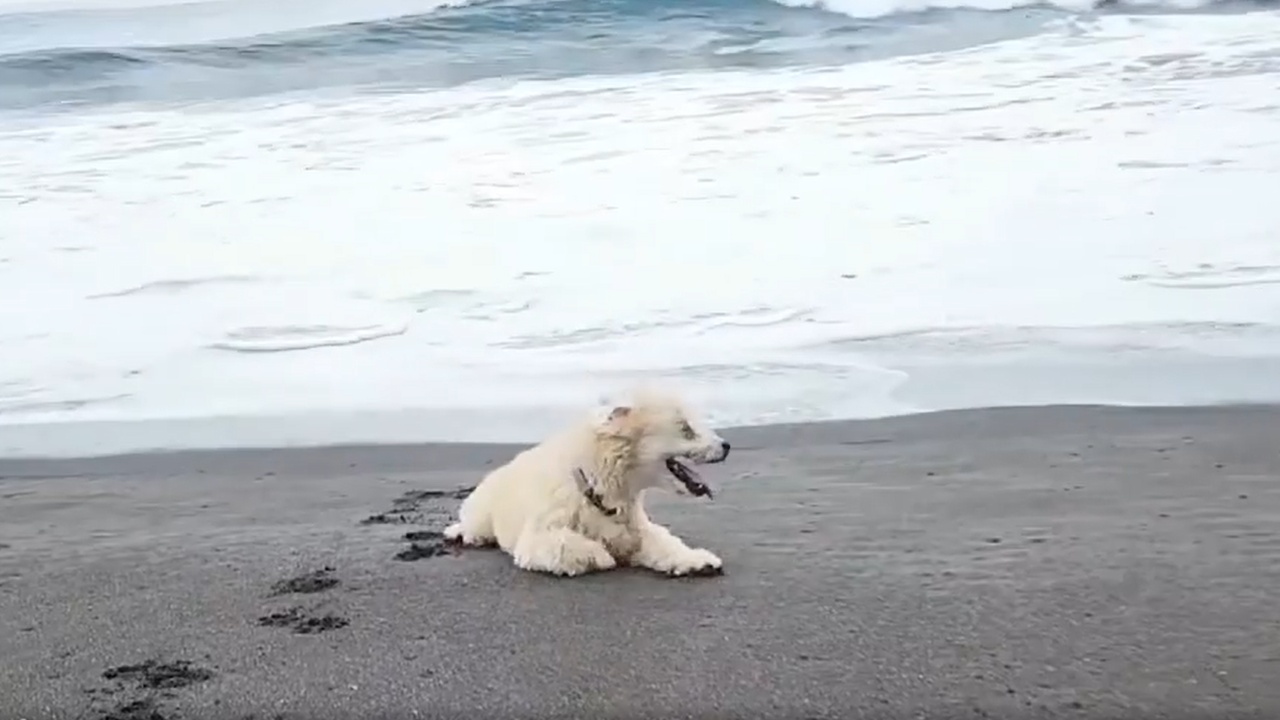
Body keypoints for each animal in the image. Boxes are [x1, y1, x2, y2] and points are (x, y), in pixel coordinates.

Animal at [448, 386, 732, 576]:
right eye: (686, 429)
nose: (727, 445)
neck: (601, 488)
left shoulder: (638, 528)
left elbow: (665, 543)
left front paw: (697, 560)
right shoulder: (539, 537)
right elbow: (570, 545)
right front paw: (603, 555)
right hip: (482, 512)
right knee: (473, 525)